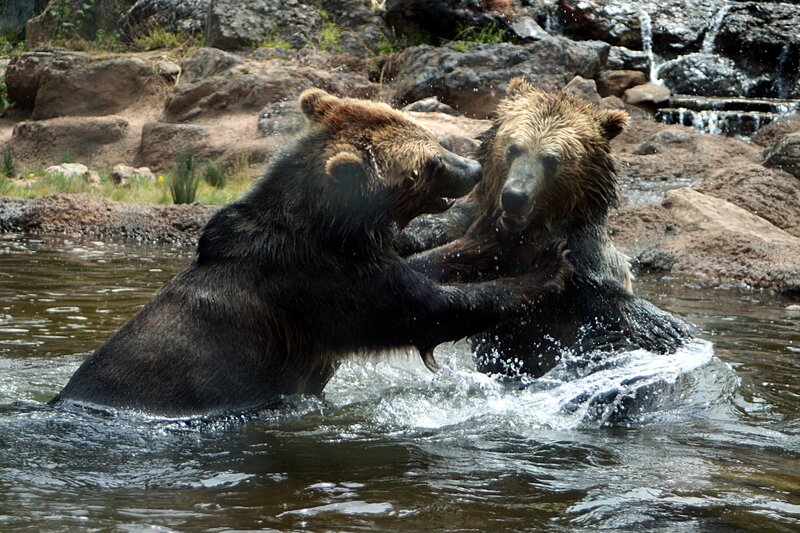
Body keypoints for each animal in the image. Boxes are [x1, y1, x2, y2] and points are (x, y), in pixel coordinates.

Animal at [50, 88, 573, 417]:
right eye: (427, 164)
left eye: (430, 136)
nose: (472, 168)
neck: (334, 230)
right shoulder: (320, 288)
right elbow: (426, 308)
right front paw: (547, 270)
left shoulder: (355, 262)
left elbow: (424, 269)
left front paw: (498, 240)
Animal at [401, 78, 691, 378]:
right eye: (513, 148)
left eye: (552, 159)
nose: (515, 196)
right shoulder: (464, 225)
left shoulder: (583, 258)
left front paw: (663, 327)